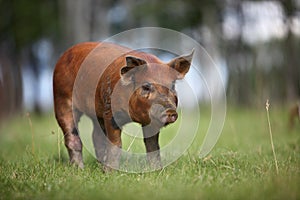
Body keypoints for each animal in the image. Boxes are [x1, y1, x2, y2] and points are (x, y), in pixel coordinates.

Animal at [53, 42, 195, 170]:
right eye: (146, 86)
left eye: (172, 86)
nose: (170, 111)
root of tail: (62, 56)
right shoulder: (109, 113)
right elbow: (115, 145)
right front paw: (110, 173)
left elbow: (152, 146)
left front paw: (157, 170)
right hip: (61, 99)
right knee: (72, 136)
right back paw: (79, 169)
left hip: (96, 113)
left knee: (97, 137)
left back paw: (99, 167)